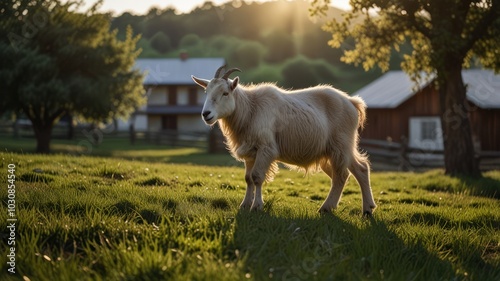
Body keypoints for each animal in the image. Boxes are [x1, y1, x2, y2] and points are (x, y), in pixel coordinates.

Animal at [191, 65, 376, 214]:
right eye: (206, 92)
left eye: (225, 93)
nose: (206, 114)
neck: (251, 108)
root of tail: (352, 102)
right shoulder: (251, 151)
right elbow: (248, 178)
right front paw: (244, 205)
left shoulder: (266, 148)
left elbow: (257, 177)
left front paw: (256, 206)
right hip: (336, 149)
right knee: (355, 171)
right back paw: (362, 209)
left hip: (341, 145)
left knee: (344, 174)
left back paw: (331, 208)